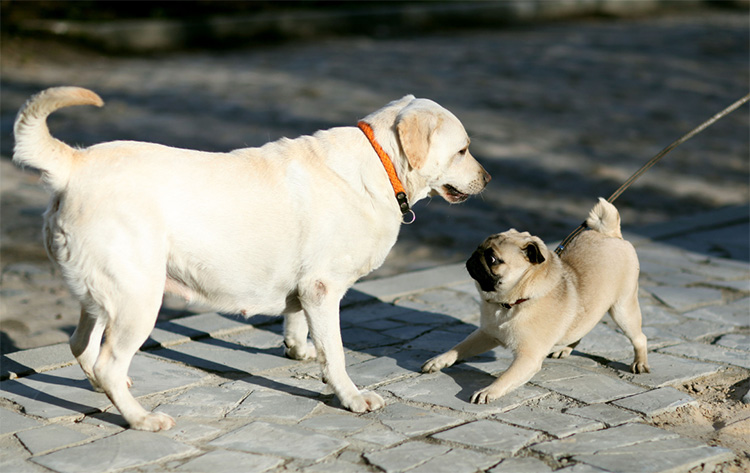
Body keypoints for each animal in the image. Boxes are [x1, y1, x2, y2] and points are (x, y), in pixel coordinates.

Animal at [14, 86, 494, 430]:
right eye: (463, 150)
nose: (489, 178)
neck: (380, 163)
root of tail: (75, 164)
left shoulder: (306, 287)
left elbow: (297, 320)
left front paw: (301, 351)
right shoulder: (323, 288)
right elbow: (337, 352)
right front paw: (351, 396)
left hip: (101, 293)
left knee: (82, 345)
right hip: (138, 296)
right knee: (109, 361)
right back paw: (140, 418)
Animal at [426, 198, 648, 402]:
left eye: (492, 259)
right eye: (478, 248)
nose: (474, 256)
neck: (512, 302)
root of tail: (610, 234)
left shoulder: (528, 357)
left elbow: (505, 378)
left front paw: (488, 391)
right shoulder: (486, 334)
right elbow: (459, 347)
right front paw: (439, 361)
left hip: (623, 310)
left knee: (639, 338)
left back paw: (640, 363)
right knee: (580, 330)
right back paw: (564, 349)